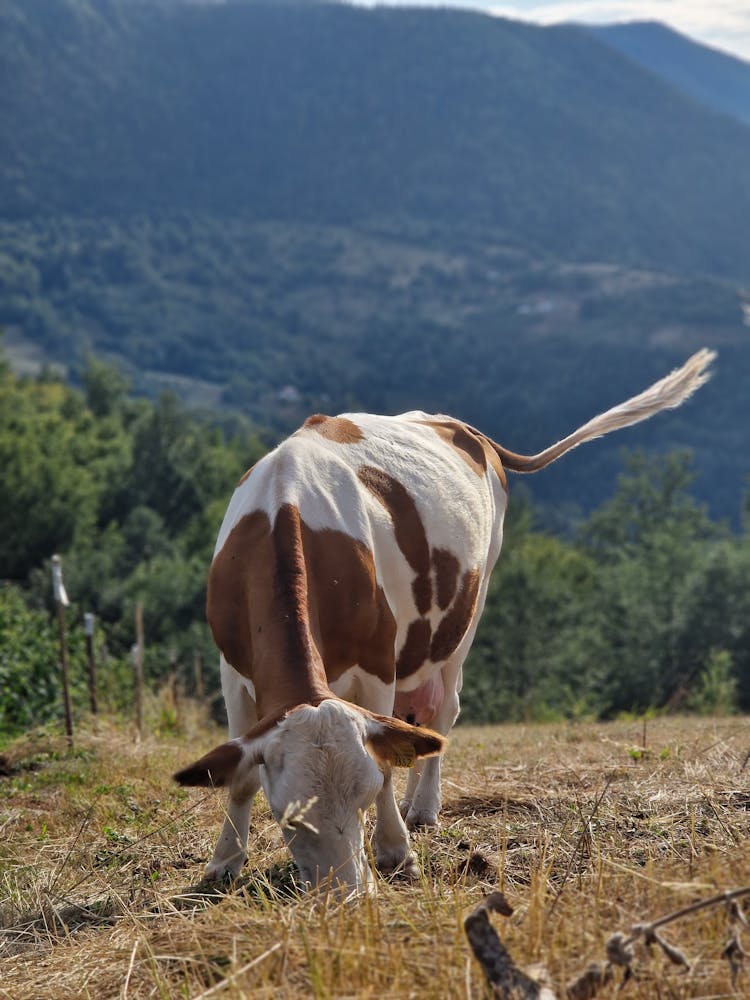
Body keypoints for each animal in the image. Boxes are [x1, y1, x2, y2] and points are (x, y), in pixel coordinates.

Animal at [176, 350, 716, 892]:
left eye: (361, 798)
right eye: (288, 817)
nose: (349, 893)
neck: (287, 509)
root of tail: (465, 428)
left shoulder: (377, 663)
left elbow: (386, 762)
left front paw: (396, 851)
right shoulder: (233, 671)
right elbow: (241, 775)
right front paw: (223, 863)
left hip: (468, 613)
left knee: (443, 712)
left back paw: (423, 809)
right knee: (418, 724)